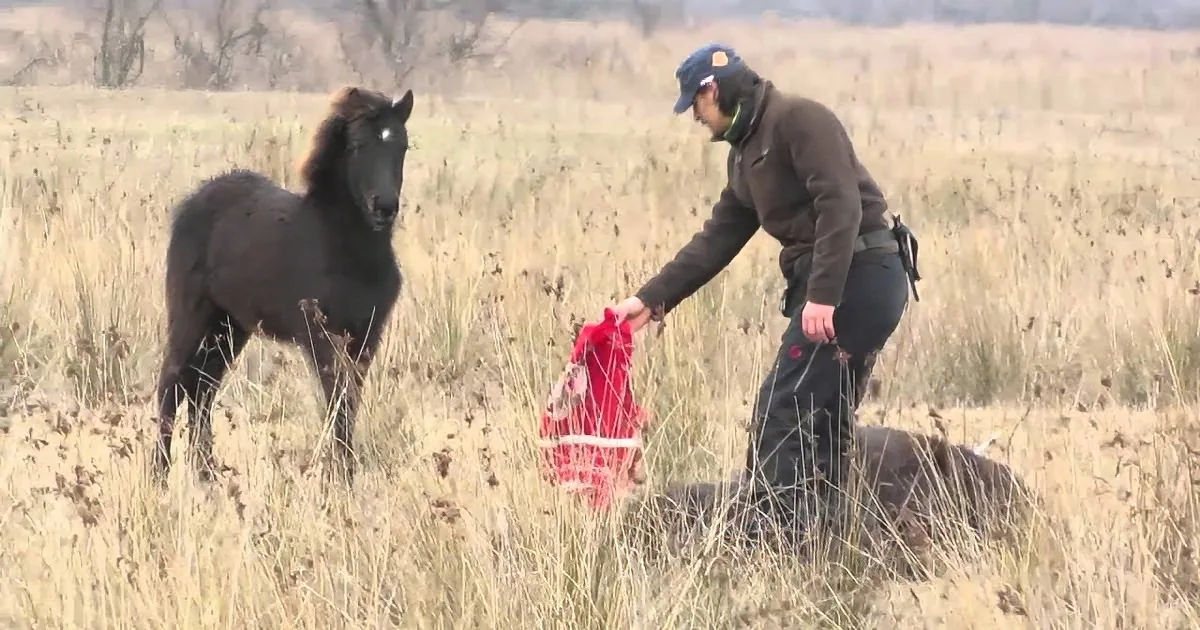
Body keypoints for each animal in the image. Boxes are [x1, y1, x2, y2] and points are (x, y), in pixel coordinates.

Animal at [152, 86, 415, 486]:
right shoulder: (321, 336)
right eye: (357, 145)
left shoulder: (366, 336)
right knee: (172, 382)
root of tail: (192, 203)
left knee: (203, 389)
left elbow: (349, 401)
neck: (345, 249)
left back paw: (207, 473)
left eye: (402, 145)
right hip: (191, 316)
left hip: (230, 328)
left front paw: (345, 474)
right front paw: (340, 479)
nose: (384, 206)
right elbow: (337, 401)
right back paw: (160, 473)